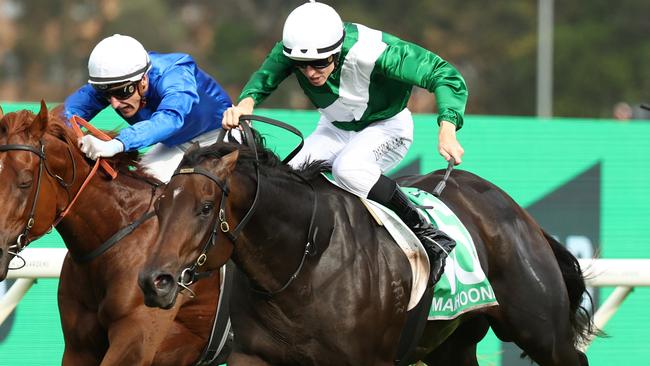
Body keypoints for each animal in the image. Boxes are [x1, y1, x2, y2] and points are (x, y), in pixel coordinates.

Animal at [139, 125, 596, 366]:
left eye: (204, 208)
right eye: (159, 204)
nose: (153, 281)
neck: (305, 261)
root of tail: (515, 210)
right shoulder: (254, 356)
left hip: (541, 332)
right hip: (454, 343)